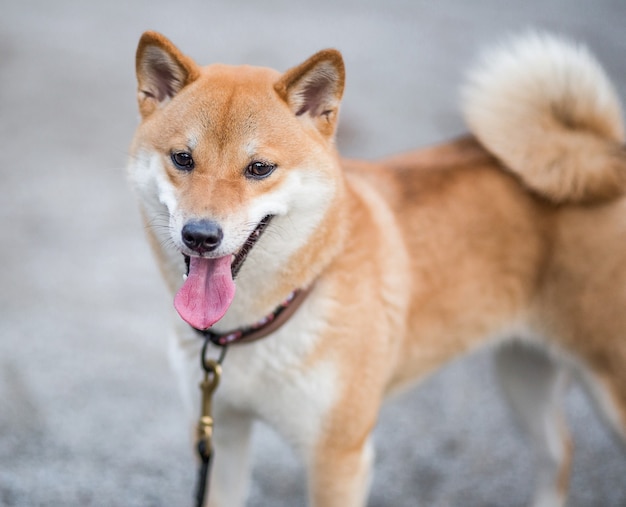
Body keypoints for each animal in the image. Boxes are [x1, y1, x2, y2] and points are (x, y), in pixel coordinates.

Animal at [127, 31, 624, 507]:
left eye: (259, 168)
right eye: (183, 159)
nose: (200, 235)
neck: (252, 325)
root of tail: (603, 155)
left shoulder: (338, 458)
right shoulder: (221, 435)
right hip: (522, 372)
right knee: (559, 452)